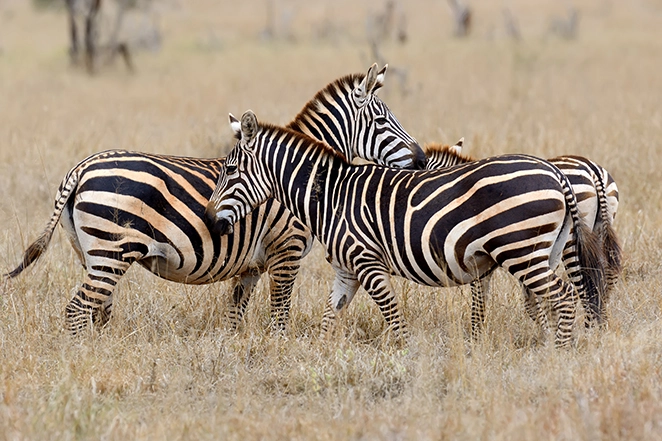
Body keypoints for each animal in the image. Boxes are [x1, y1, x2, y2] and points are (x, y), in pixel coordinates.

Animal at [2, 61, 422, 334]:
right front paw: (279, 351)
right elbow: (280, 317)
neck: (292, 172)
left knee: (95, 311)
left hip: (92, 254)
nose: (420, 159)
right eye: (382, 121)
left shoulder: (250, 266)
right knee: (76, 310)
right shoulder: (285, 250)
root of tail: (81, 168)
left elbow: (235, 317)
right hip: (111, 251)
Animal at [426, 140, 624, 330]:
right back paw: (600, 327)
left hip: (572, 243)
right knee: (605, 278)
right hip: (599, 231)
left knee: (585, 288)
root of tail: (592, 170)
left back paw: (589, 330)